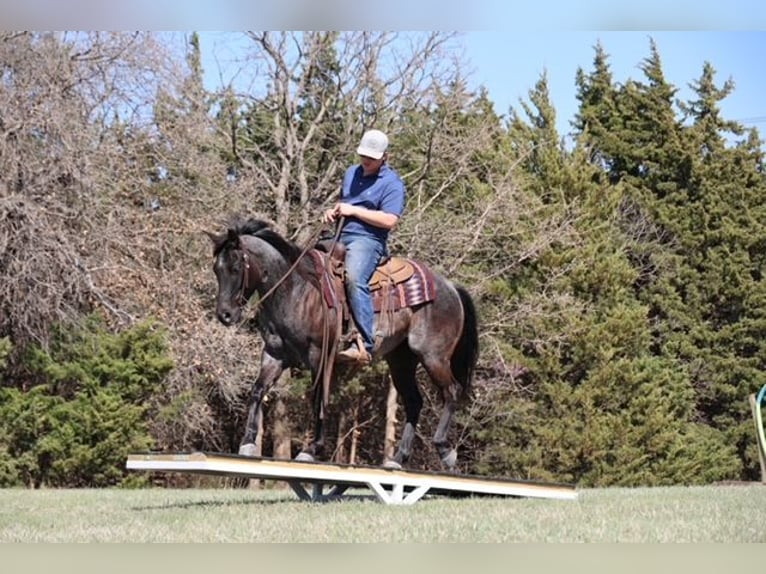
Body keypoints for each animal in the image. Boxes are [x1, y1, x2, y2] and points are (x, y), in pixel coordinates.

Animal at [207, 217, 479, 470]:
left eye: (235, 267)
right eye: (216, 269)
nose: (225, 315)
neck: (296, 289)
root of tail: (450, 287)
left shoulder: (319, 355)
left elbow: (318, 397)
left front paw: (311, 449)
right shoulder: (275, 354)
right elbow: (257, 390)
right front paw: (247, 443)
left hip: (433, 355)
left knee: (451, 390)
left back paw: (445, 450)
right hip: (401, 361)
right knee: (414, 401)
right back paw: (398, 459)